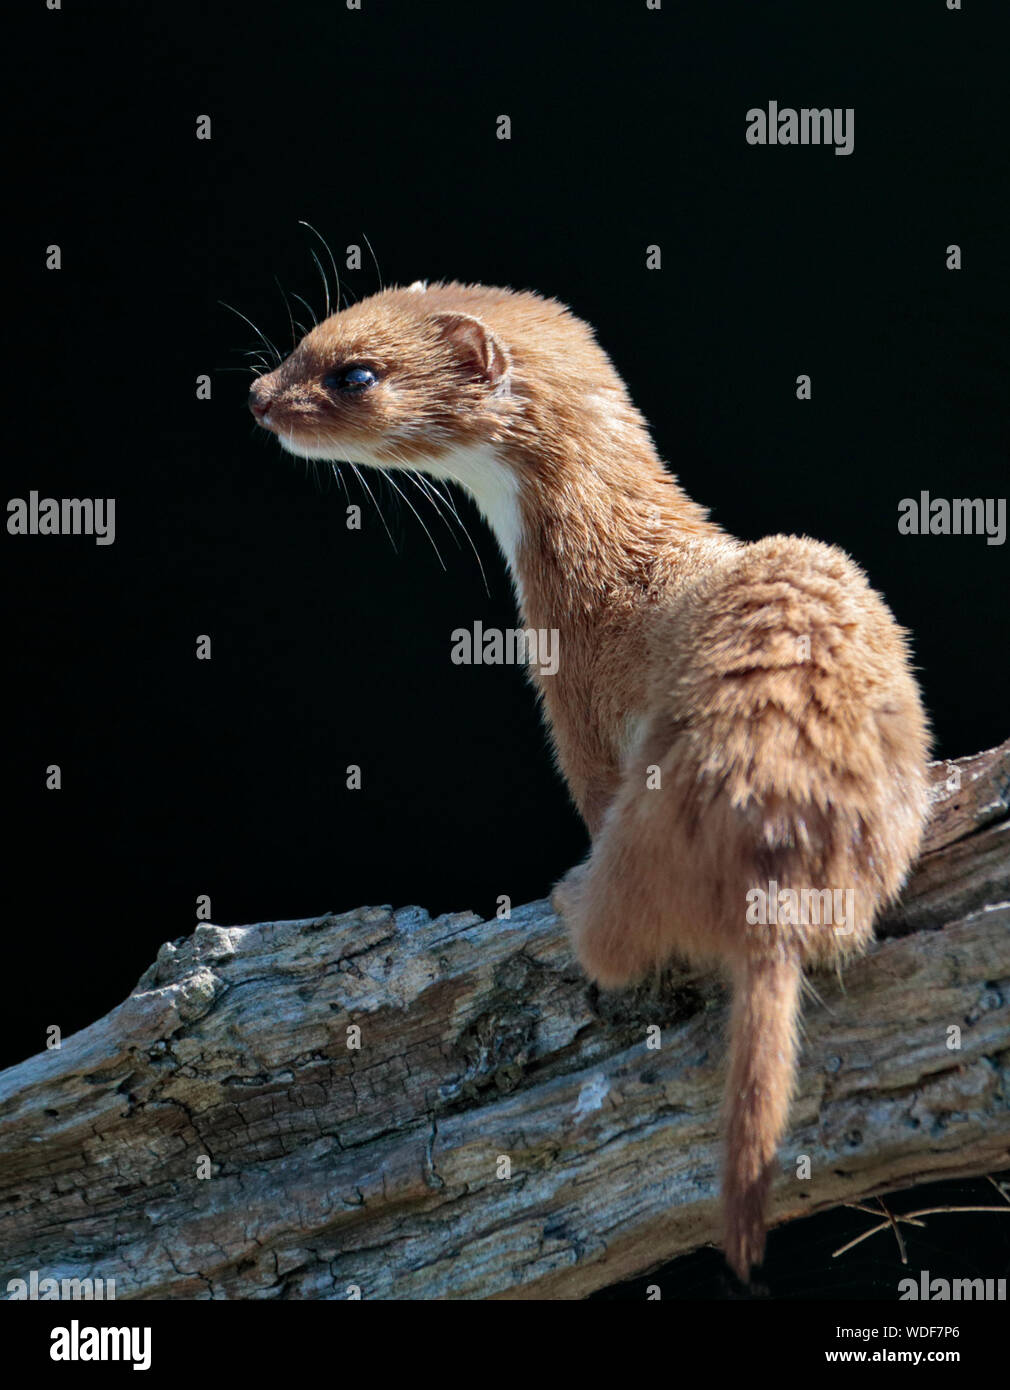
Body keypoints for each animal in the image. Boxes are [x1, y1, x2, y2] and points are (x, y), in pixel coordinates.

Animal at [251, 282, 933, 1278]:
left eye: (355, 373)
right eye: (306, 335)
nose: (258, 395)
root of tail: (774, 852)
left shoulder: (574, 707)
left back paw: (573, 900)